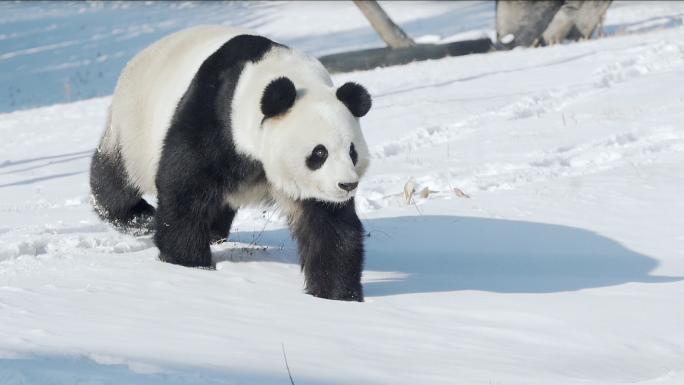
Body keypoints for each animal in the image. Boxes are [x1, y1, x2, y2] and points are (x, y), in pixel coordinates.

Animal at [90, 25, 372, 302]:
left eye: (352, 151)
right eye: (319, 153)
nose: (347, 185)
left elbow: (329, 224)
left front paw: (336, 295)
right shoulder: (215, 115)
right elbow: (185, 187)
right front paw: (188, 263)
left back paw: (213, 232)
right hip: (134, 124)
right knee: (116, 177)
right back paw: (139, 216)